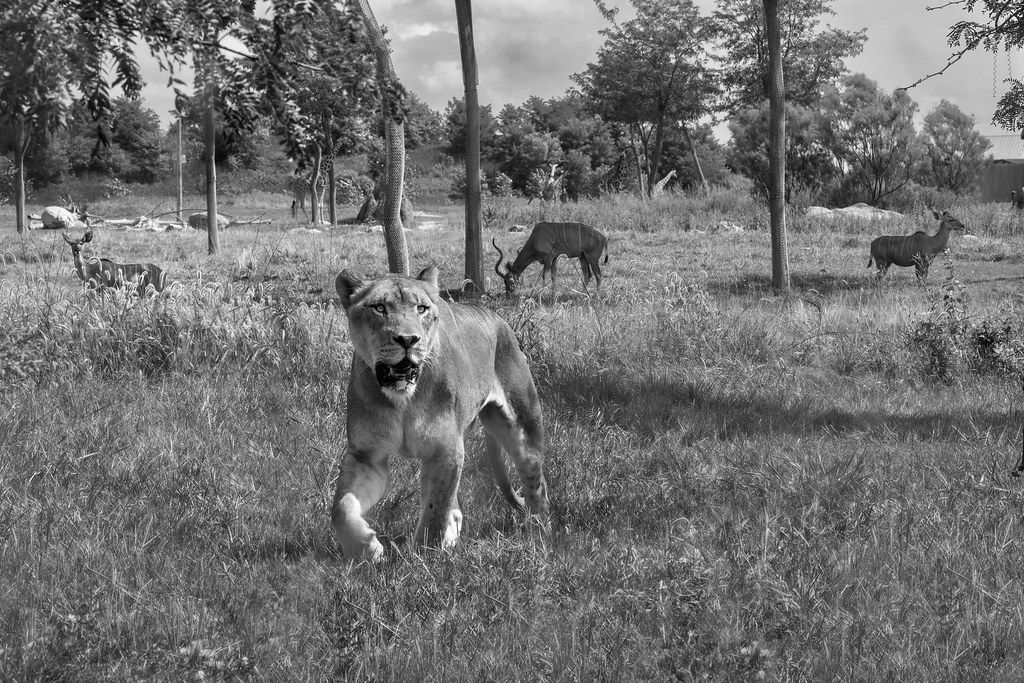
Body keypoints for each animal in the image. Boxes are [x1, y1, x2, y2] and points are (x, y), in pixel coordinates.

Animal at [331, 266, 549, 561]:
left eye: (421, 309)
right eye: (379, 308)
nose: (408, 339)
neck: (402, 399)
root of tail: (496, 318)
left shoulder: (445, 450)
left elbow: (436, 509)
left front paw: (422, 558)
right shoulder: (366, 456)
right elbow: (341, 508)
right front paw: (367, 548)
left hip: (522, 429)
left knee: (536, 481)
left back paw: (539, 531)